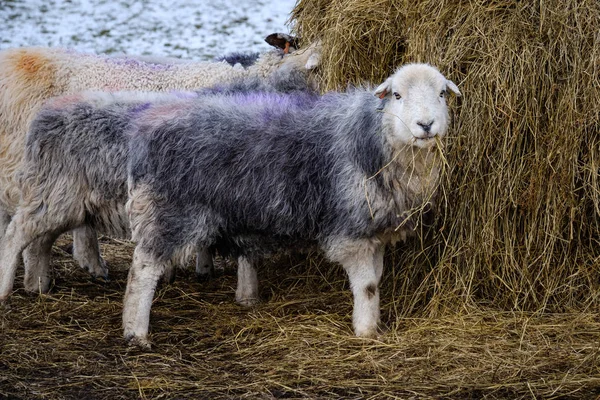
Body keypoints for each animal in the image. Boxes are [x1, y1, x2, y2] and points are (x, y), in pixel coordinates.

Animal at [117, 62, 460, 346]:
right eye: (397, 95)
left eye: (442, 93)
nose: (426, 125)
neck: (373, 139)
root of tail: (143, 131)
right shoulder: (351, 231)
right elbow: (367, 287)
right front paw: (365, 332)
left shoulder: (373, 232)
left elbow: (375, 281)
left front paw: (374, 325)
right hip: (170, 211)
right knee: (143, 270)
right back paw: (136, 333)